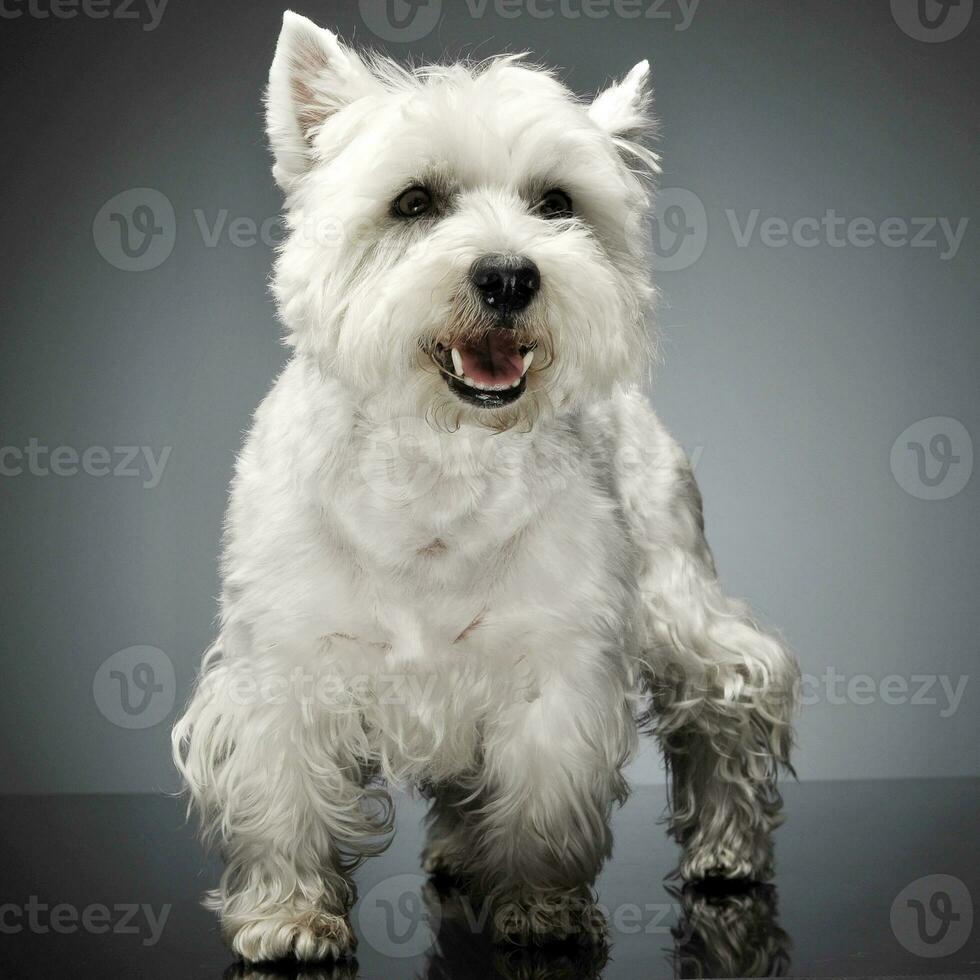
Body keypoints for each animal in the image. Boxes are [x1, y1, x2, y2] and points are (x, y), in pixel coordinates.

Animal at [174, 11, 796, 964]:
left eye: (557, 203)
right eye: (414, 202)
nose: (510, 276)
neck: (443, 458)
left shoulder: (555, 662)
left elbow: (542, 799)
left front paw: (541, 908)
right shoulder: (284, 662)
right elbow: (283, 796)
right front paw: (288, 914)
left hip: (674, 586)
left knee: (729, 698)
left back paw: (726, 853)